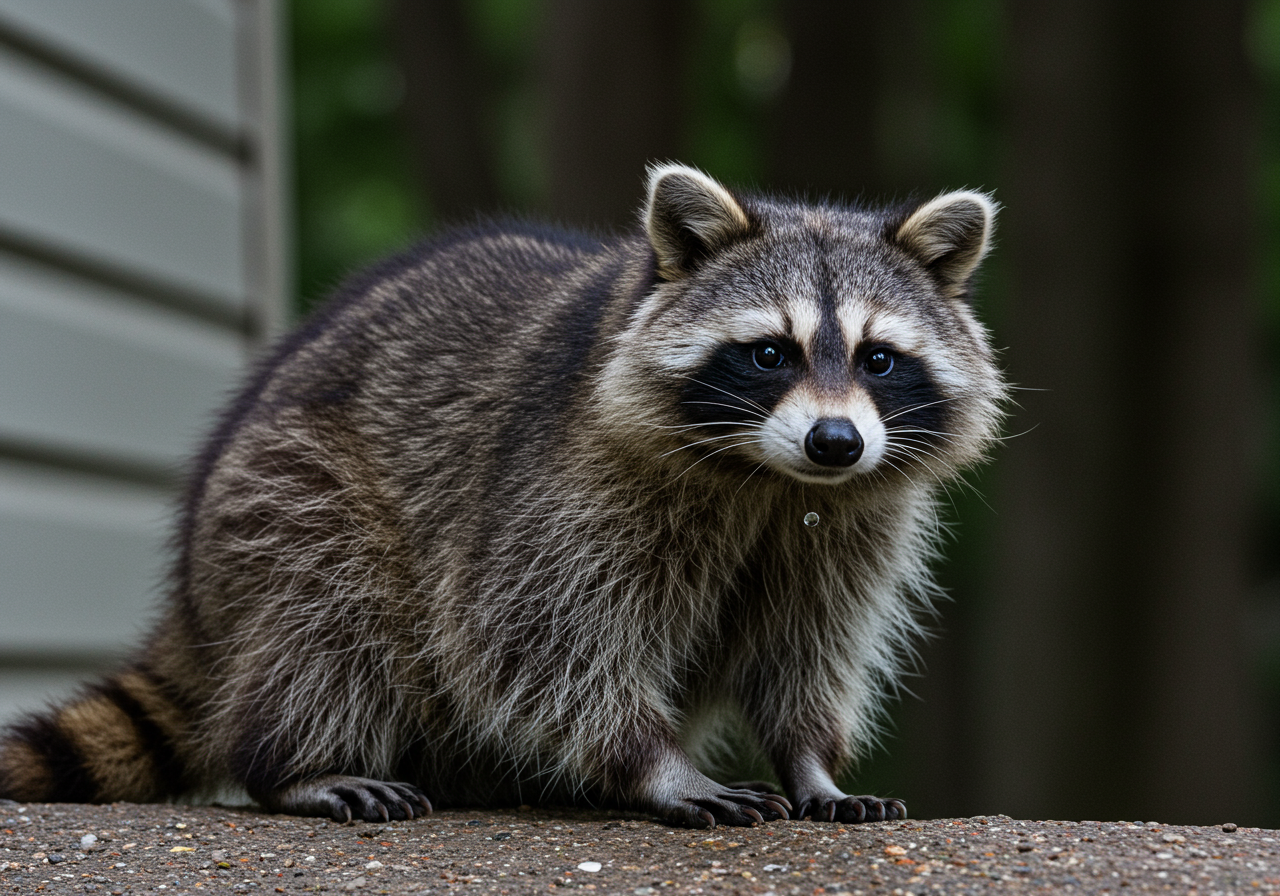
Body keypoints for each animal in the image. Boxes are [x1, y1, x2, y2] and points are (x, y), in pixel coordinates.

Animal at [0, 164, 1005, 827]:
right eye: (769, 353)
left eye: (879, 360)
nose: (836, 442)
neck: (770, 478)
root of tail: (196, 599)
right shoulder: (561, 485)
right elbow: (540, 638)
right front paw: (655, 766)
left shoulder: (847, 523)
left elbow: (806, 645)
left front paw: (810, 764)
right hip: (285, 488)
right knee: (324, 607)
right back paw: (298, 762)